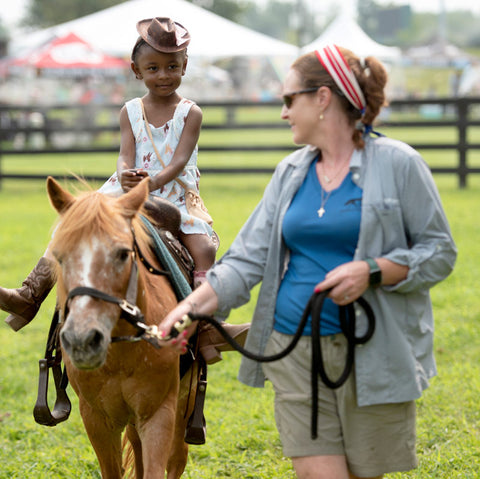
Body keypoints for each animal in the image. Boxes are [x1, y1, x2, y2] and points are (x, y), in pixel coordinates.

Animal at [47, 177, 197, 479]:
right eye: (59, 256)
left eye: (123, 254)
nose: (82, 340)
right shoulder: (96, 418)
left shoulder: (158, 413)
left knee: (178, 456)